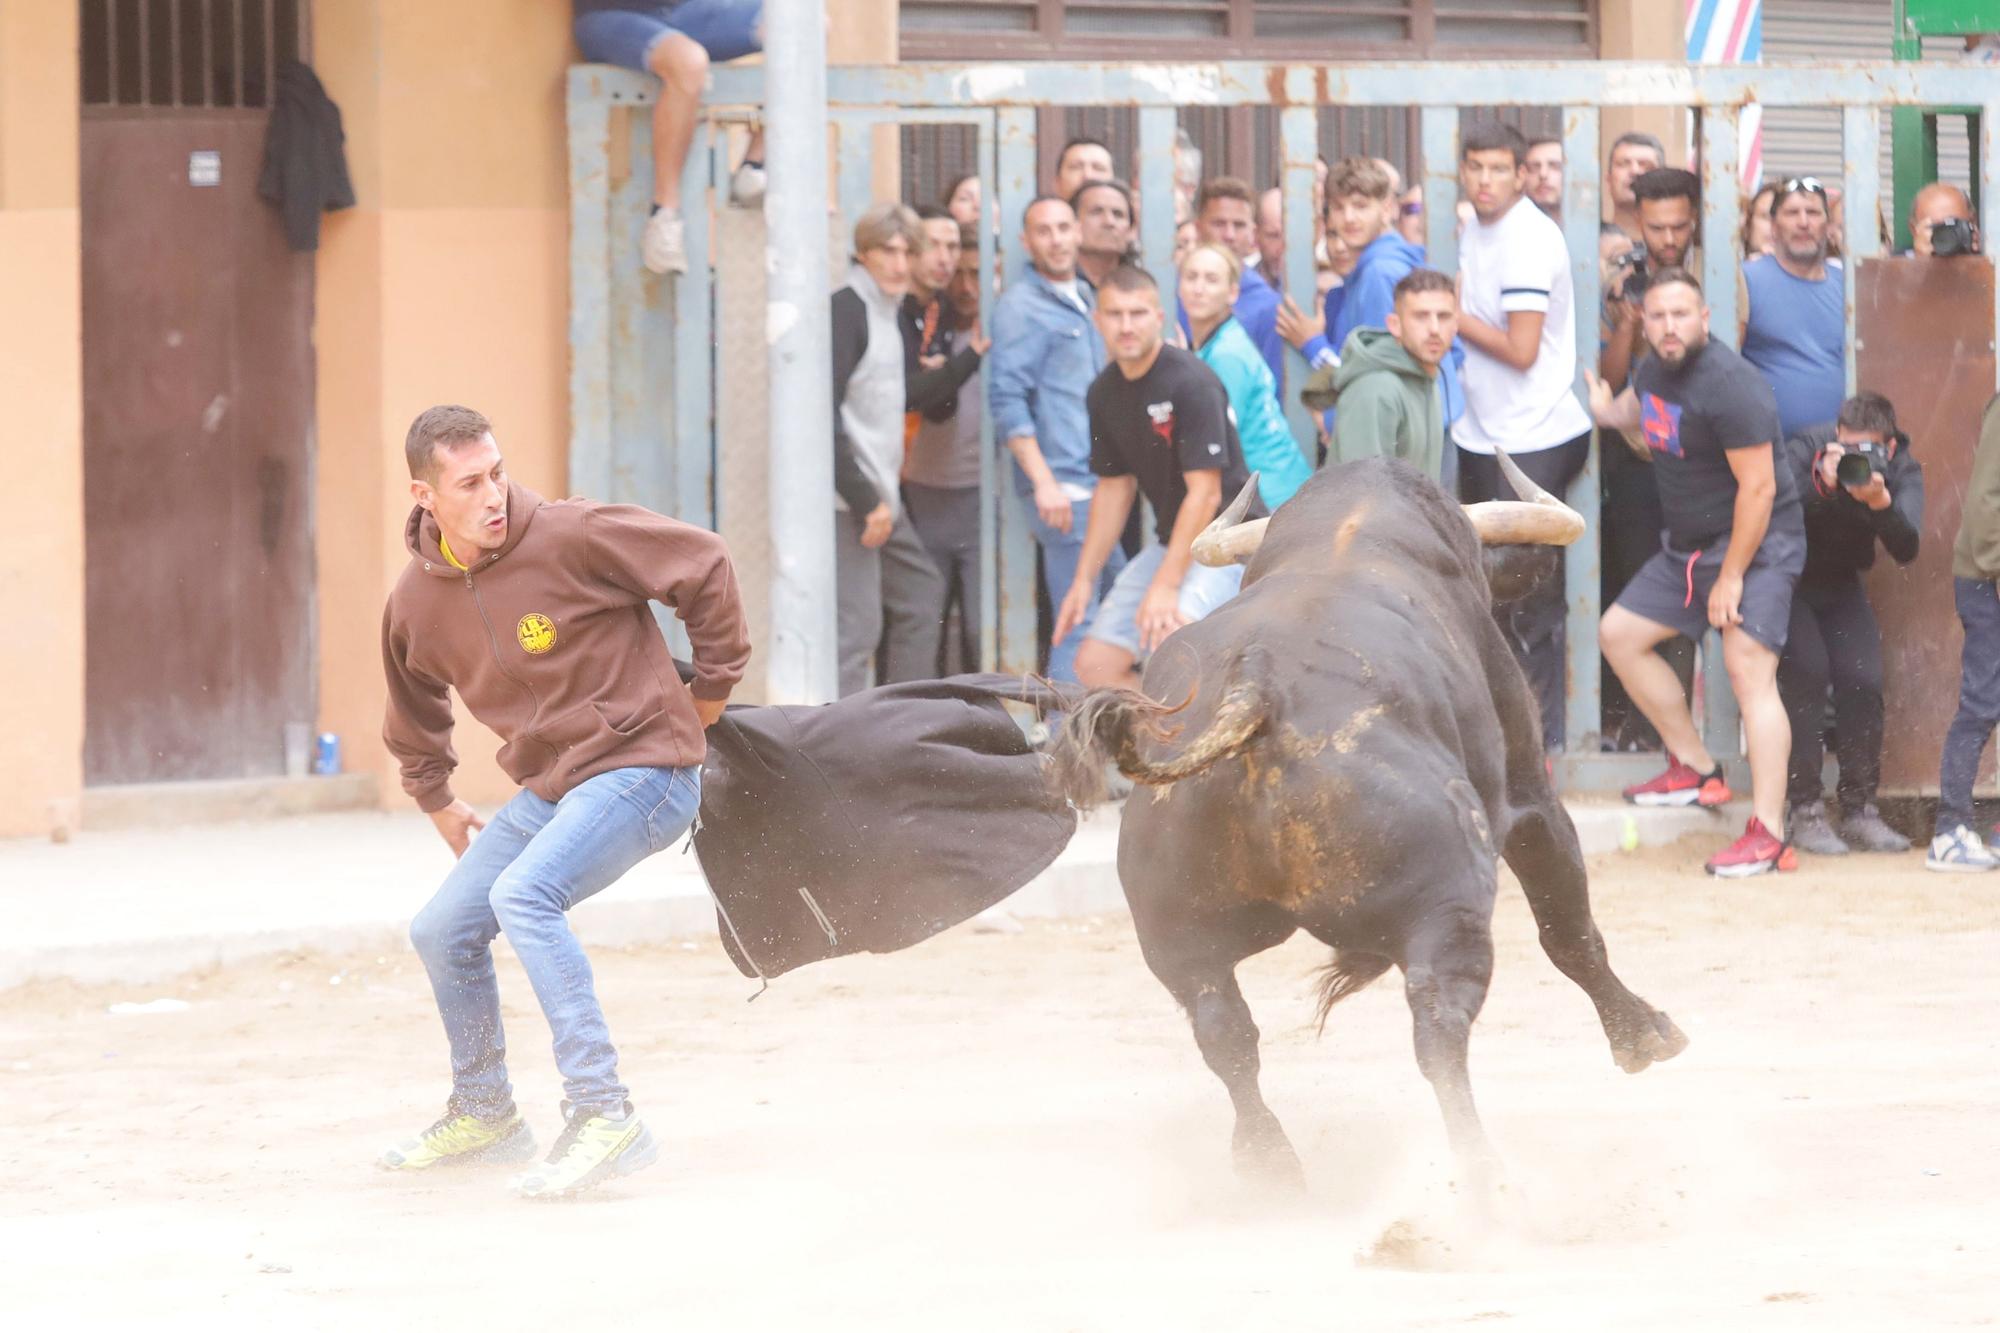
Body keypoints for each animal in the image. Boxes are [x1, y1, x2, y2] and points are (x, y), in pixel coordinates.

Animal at [1048, 460, 1688, 1184]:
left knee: (1224, 1031)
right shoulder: (1533, 799)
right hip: (1447, 901)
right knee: (1438, 1024)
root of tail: (1258, 693)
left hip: (1177, 934)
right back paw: (1483, 1178)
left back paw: (1270, 1162)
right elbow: (1571, 932)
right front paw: (1645, 1035)